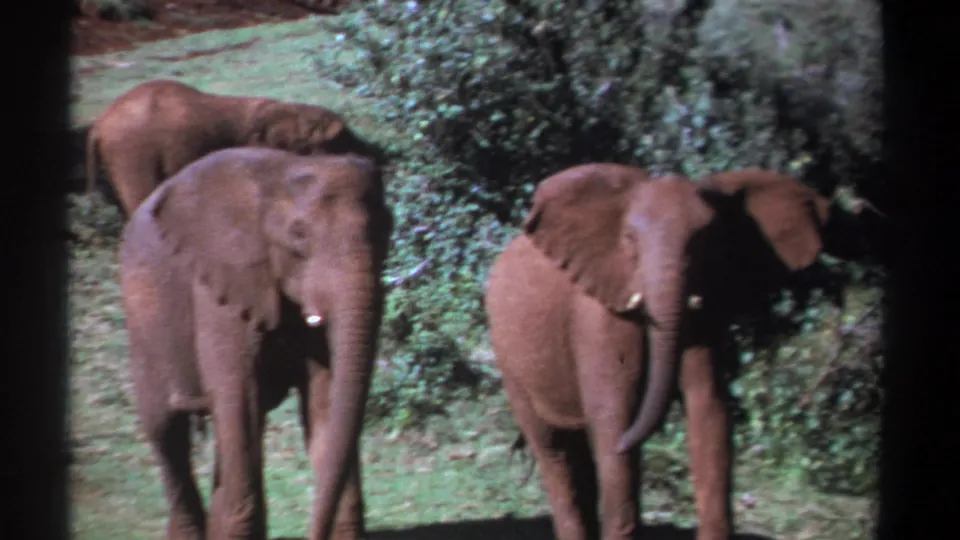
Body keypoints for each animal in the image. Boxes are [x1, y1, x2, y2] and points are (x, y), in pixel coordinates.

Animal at [118, 146, 393, 540]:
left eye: (387, 228)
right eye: (298, 234)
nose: (312, 533)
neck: (282, 172)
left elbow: (325, 398)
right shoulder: (220, 289)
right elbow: (239, 392)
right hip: (143, 329)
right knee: (167, 432)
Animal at [485, 164, 837, 540]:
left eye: (707, 239)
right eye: (629, 239)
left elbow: (709, 408)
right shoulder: (598, 317)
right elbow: (615, 414)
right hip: (508, 358)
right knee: (554, 450)